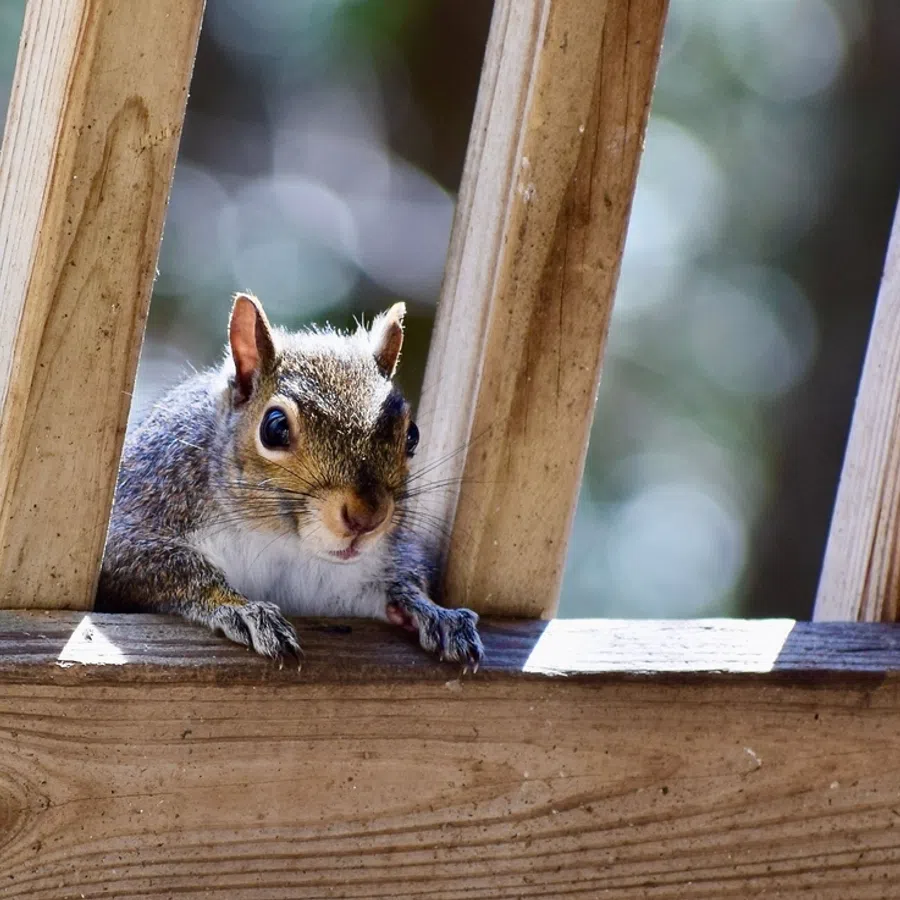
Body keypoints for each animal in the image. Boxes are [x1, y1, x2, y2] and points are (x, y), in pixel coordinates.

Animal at [96, 292, 483, 670]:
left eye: (412, 436)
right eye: (275, 427)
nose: (367, 517)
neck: (283, 542)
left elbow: (397, 583)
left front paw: (431, 610)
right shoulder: (148, 504)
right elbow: (158, 563)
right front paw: (239, 607)